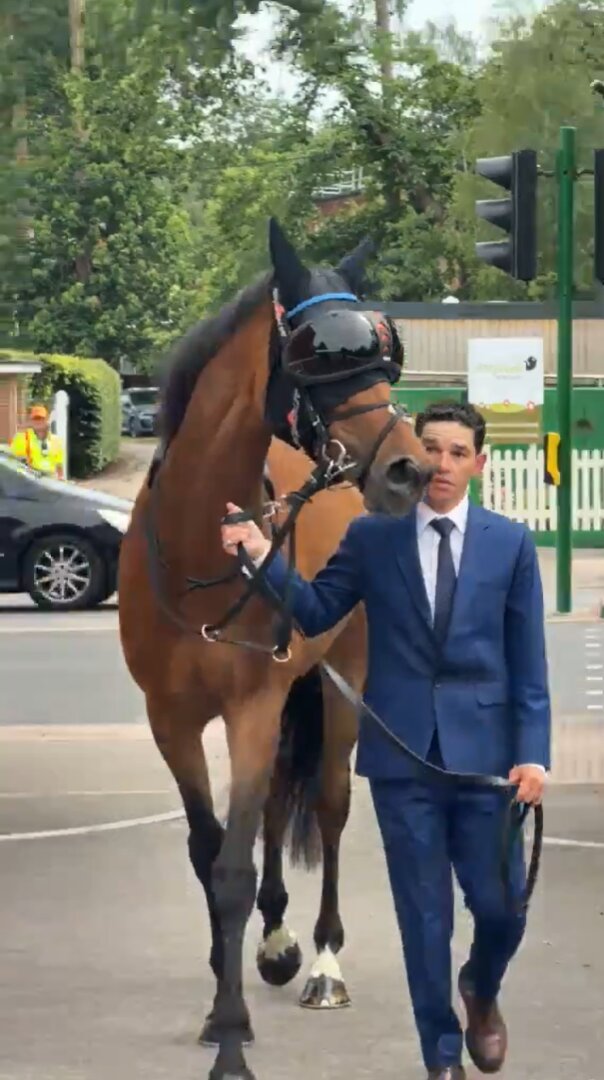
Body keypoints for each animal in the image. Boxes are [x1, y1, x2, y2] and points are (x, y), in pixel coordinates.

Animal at [118, 217, 433, 1080]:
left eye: (385, 351)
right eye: (317, 352)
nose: (409, 468)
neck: (199, 542)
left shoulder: (255, 705)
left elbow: (231, 867)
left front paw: (231, 1040)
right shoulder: (171, 720)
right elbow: (210, 851)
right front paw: (224, 1007)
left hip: (340, 681)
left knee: (327, 805)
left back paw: (321, 961)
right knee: (263, 821)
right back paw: (278, 942)